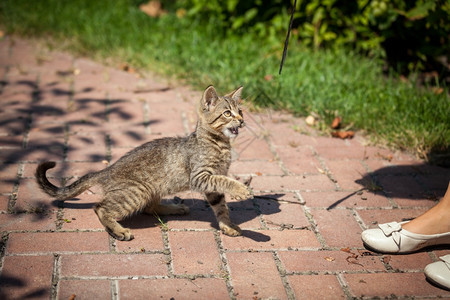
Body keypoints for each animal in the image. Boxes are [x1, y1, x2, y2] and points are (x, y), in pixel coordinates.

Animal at [35, 85, 253, 240]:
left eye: (241, 111)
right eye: (227, 113)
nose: (242, 121)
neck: (220, 145)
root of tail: (108, 169)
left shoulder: (213, 181)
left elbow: (220, 206)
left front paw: (227, 226)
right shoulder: (201, 176)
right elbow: (225, 182)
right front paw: (241, 189)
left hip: (152, 189)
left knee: (149, 207)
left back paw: (175, 208)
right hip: (137, 192)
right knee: (100, 208)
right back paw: (119, 230)